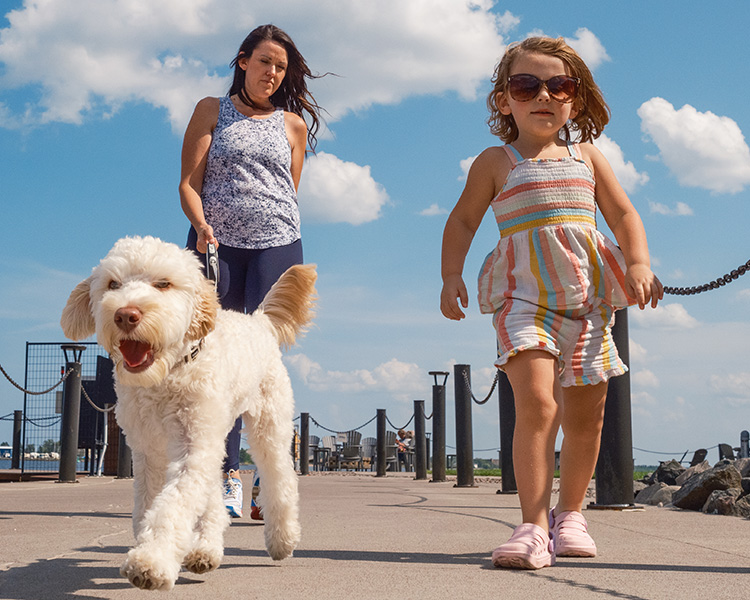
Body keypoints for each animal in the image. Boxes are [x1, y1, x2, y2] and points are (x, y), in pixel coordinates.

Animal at [60, 236, 316, 592]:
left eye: (163, 284)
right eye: (113, 284)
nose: (126, 315)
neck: (168, 375)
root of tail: (259, 320)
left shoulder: (194, 446)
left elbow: (174, 505)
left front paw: (152, 561)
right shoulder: (149, 452)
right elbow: (153, 504)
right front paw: (164, 551)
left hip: (269, 424)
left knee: (280, 478)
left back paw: (282, 539)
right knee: (214, 495)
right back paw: (206, 549)